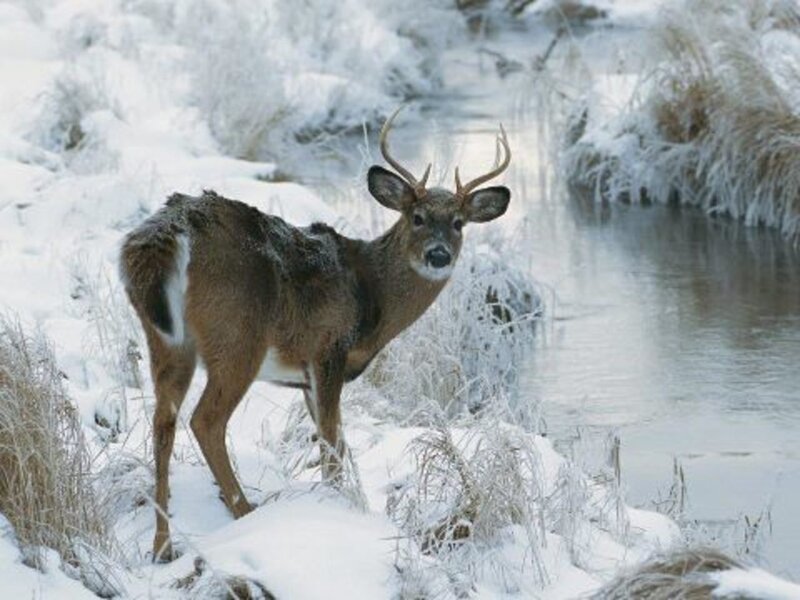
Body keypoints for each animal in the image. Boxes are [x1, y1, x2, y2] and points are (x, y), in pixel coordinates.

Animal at [119, 108, 511, 561]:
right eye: (417, 218)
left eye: (459, 223)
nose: (438, 255)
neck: (371, 296)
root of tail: (170, 230)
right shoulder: (329, 349)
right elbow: (331, 443)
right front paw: (337, 510)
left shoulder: (305, 378)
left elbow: (334, 443)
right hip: (237, 335)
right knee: (206, 420)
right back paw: (244, 511)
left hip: (165, 338)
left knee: (162, 421)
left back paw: (162, 545)